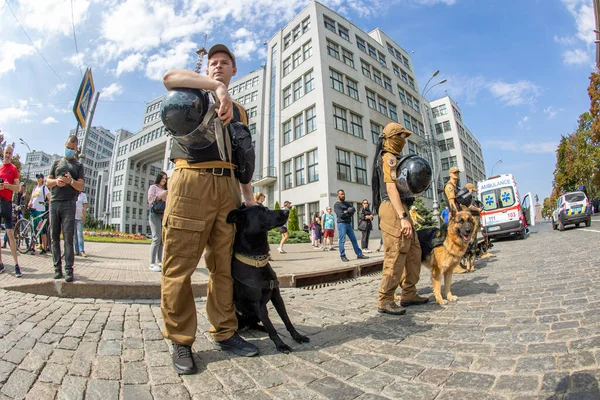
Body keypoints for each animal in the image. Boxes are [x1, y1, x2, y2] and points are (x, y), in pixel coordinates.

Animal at [225, 206, 310, 354]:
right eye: (262, 211)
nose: (287, 210)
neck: (257, 261)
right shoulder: (258, 304)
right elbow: (271, 327)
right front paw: (281, 345)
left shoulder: (277, 297)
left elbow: (287, 320)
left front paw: (297, 336)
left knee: (255, 325)